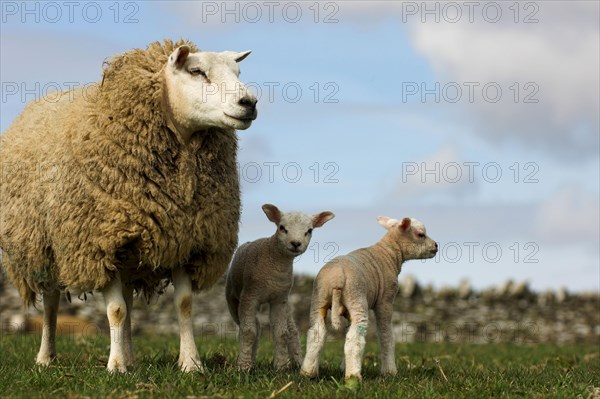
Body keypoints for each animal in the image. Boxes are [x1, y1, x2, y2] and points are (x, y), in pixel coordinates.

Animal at [0, 39, 258, 374]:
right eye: (196, 71)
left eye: (237, 72)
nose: (249, 102)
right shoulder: (99, 244)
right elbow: (116, 310)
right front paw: (115, 367)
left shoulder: (184, 238)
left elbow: (183, 305)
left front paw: (191, 364)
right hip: (45, 248)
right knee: (51, 303)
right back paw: (47, 357)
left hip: (129, 255)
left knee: (129, 300)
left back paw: (131, 356)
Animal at [226, 206, 336, 372]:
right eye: (282, 227)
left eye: (309, 230)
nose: (296, 243)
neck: (276, 262)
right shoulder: (249, 296)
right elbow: (248, 332)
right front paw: (243, 366)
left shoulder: (279, 299)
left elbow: (281, 333)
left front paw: (282, 366)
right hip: (233, 298)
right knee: (252, 328)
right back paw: (250, 360)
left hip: (286, 303)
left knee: (292, 330)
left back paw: (298, 362)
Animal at [300, 217, 436, 382]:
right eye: (420, 234)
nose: (436, 246)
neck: (390, 253)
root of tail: (338, 277)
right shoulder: (385, 301)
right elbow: (386, 335)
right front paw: (389, 372)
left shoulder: (348, 312)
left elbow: (347, 332)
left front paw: (343, 366)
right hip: (356, 297)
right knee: (355, 339)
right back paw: (353, 376)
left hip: (319, 299)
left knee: (317, 334)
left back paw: (308, 373)